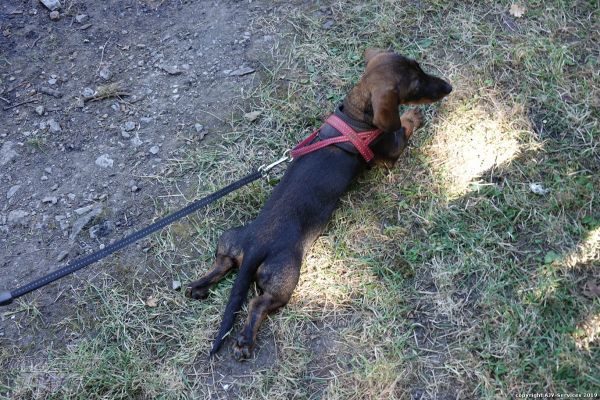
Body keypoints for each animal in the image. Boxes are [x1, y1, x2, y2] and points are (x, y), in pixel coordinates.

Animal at [186, 49, 452, 360]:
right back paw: (245, 341)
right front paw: (413, 115)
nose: (448, 87)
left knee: (222, 264)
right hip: (284, 276)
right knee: (257, 304)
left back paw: (197, 286)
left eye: (420, 69)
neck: (355, 116)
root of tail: (253, 248)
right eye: (416, 84)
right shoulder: (392, 149)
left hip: (230, 240)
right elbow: (405, 128)